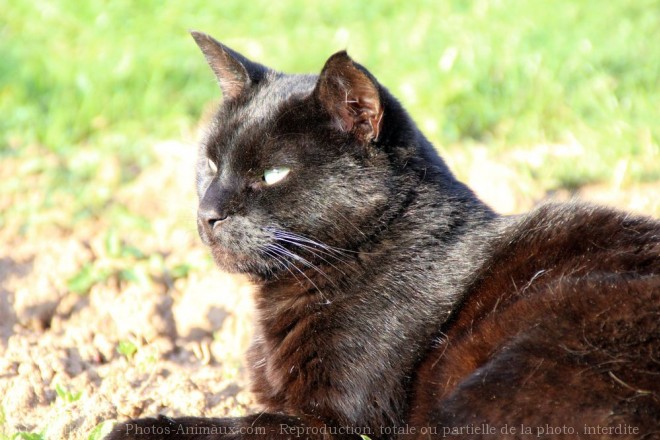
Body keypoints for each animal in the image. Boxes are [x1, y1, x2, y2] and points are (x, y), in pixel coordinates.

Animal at [105, 31, 656, 440]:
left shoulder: (335, 423)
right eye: (211, 164)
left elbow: (231, 425)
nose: (208, 212)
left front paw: (137, 424)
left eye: (273, 174)